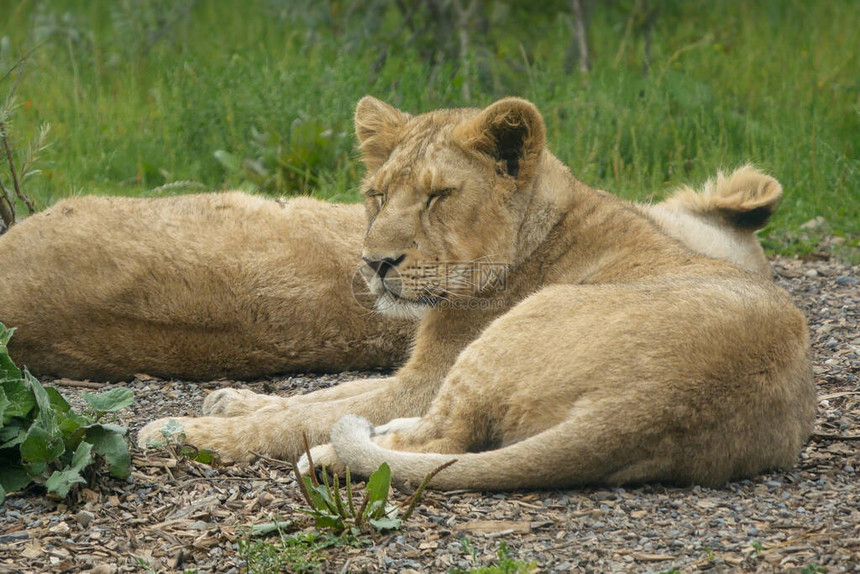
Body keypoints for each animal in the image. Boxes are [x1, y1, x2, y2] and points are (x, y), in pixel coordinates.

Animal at [129, 97, 812, 492]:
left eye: (437, 196)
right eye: (377, 194)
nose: (375, 263)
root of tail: (648, 409)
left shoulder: (427, 376)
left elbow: (304, 413)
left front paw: (182, 430)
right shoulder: (418, 373)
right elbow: (326, 393)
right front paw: (230, 400)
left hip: (515, 330)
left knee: (439, 441)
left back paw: (327, 459)